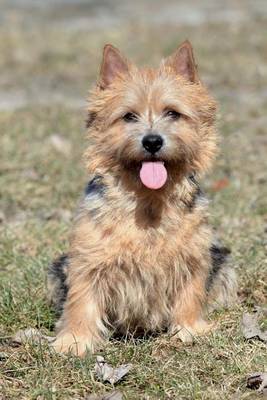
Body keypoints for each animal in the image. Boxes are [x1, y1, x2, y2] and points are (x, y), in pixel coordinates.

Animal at [47, 40, 238, 356]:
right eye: (128, 116)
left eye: (172, 113)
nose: (152, 141)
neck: (149, 202)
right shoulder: (88, 259)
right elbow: (82, 300)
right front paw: (75, 341)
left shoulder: (193, 256)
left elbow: (191, 293)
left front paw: (189, 331)